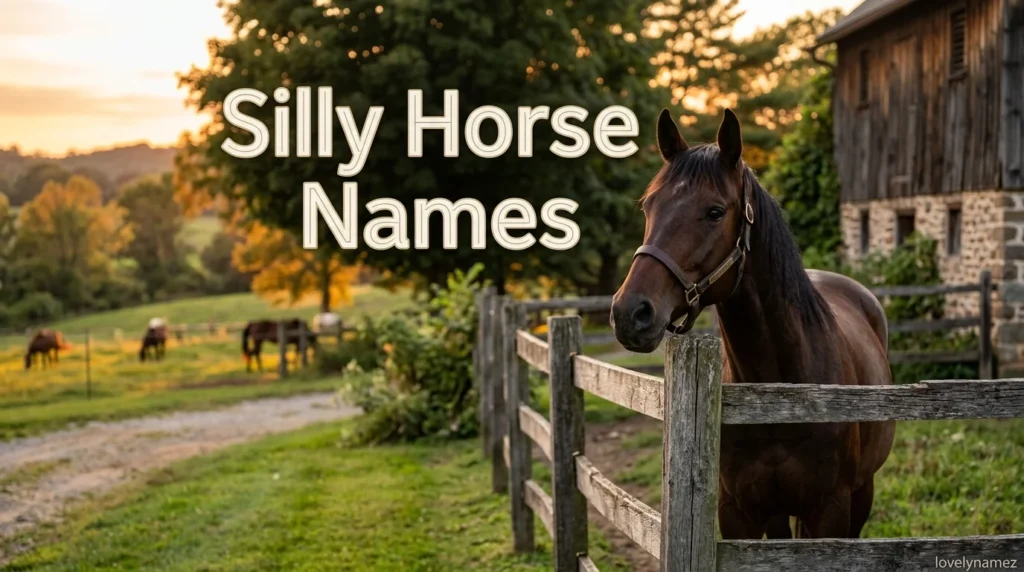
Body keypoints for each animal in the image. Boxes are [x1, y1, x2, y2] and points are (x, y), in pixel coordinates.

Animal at [610, 109, 895, 539]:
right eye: (648, 207)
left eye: (714, 211)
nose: (630, 312)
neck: (781, 393)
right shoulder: (737, 513)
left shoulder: (832, 510)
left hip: (862, 493)